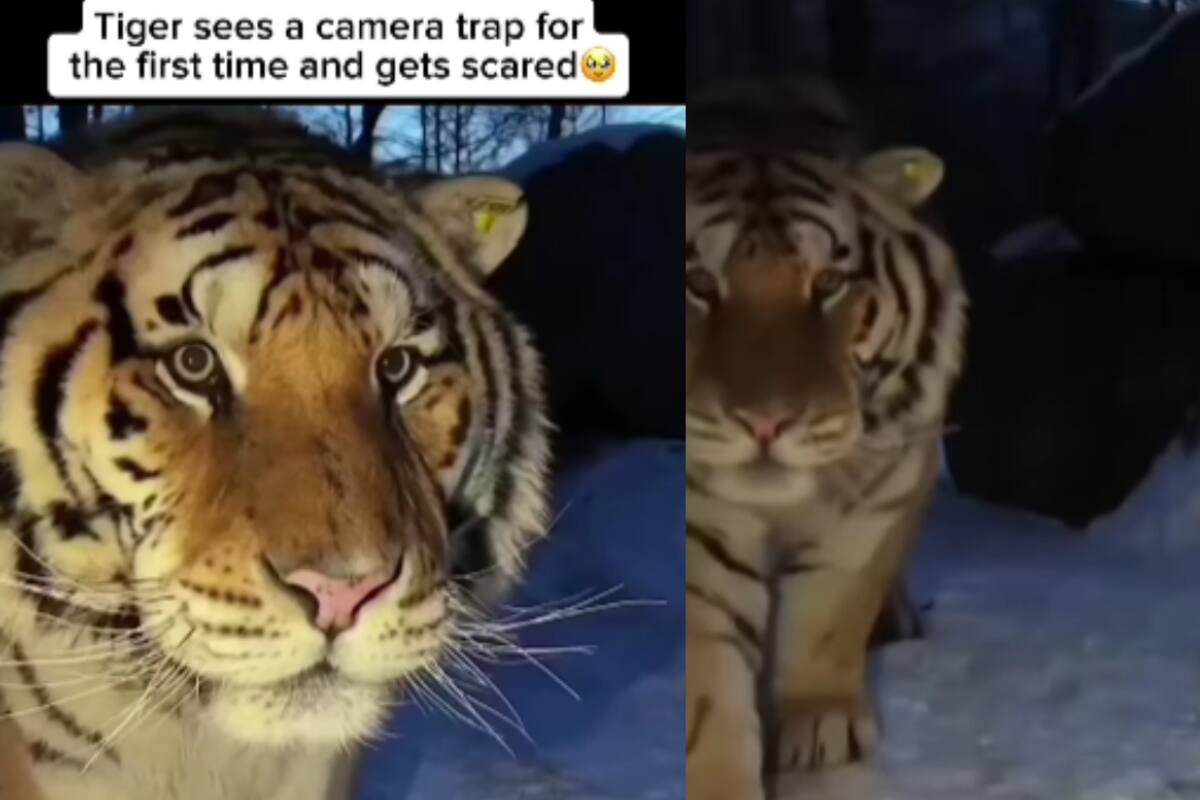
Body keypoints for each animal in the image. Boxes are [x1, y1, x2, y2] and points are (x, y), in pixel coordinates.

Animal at [684, 79, 968, 799]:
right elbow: (710, 679)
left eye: (829, 284)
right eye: (698, 283)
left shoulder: (879, 495)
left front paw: (820, 732)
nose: (766, 422)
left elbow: (830, 613)